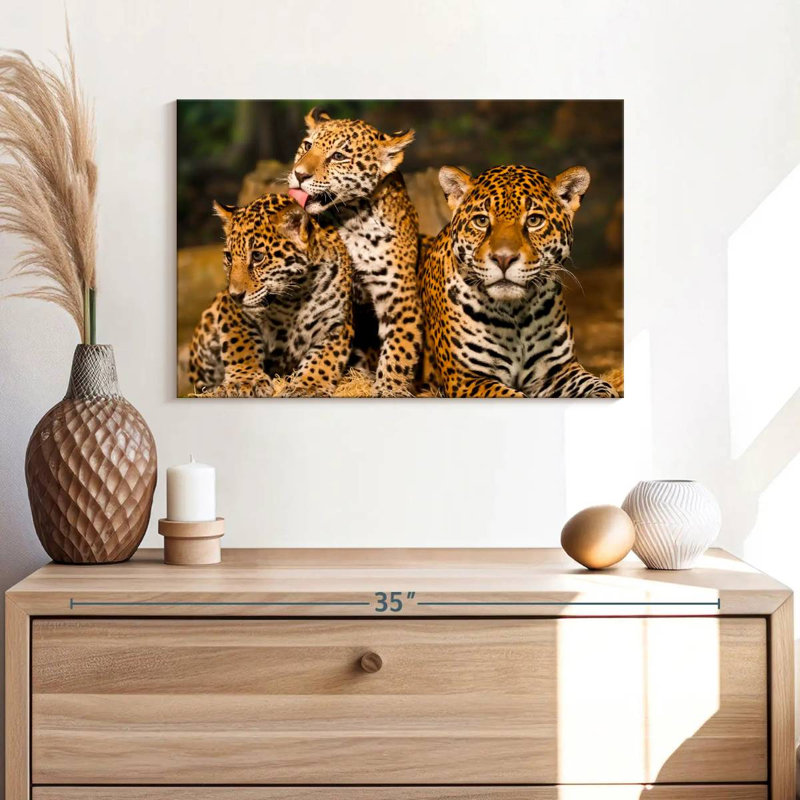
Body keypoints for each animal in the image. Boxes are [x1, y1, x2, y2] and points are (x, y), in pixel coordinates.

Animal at [188, 193, 354, 398]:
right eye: (229, 257)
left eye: (258, 257)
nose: (235, 295)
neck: (294, 297)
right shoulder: (231, 310)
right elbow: (240, 344)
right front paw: (244, 381)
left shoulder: (337, 324)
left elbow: (324, 359)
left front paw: (308, 386)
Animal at [287, 108, 422, 397]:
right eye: (307, 145)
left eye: (339, 156)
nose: (299, 175)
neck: (353, 219)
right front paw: (307, 385)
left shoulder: (400, 297)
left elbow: (400, 349)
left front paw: (389, 389)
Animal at [419, 164, 618, 398]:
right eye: (481, 221)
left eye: (534, 221)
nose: (503, 259)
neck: (515, 313)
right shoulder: (466, 379)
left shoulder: (559, 370)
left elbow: (600, 387)